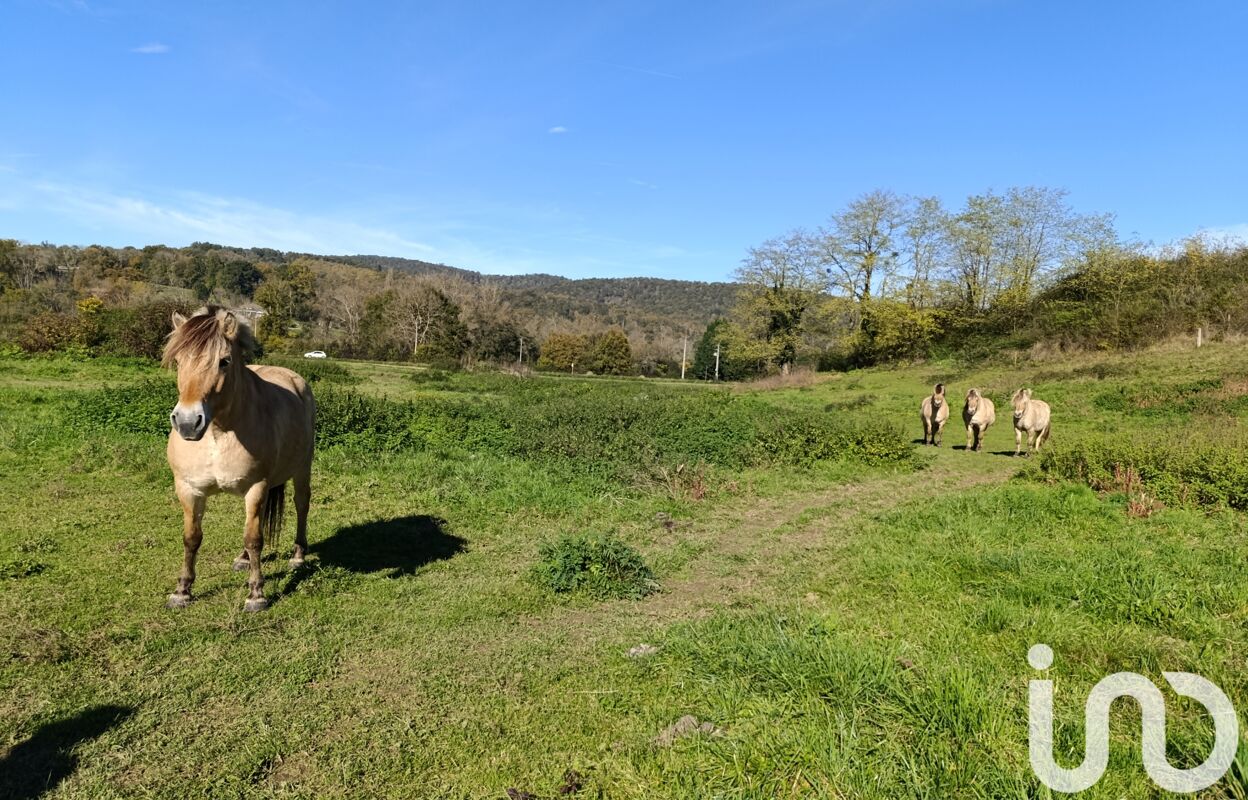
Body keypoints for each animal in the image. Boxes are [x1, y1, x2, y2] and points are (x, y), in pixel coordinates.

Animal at [160, 307, 314, 611]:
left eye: (224, 361)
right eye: (179, 360)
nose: (187, 423)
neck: (217, 434)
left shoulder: (257, 487)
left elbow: (255, 539)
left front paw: (256, 595)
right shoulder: (188, 489)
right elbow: (191, 538)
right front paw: (182, 590)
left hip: (302, 469)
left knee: (301, 504)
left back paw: (298, 556)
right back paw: (242, 559)